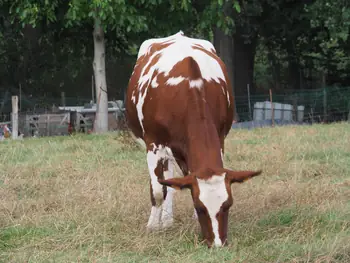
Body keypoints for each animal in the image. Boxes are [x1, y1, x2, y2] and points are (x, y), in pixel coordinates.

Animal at [124, 31, 262, 250]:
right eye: (200, 207)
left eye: (228, 204)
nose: (217, 244)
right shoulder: (153, 144)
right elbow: (157, 190)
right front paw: (153, 226)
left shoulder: (219, 138)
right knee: (163, 181)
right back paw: (164, 221)